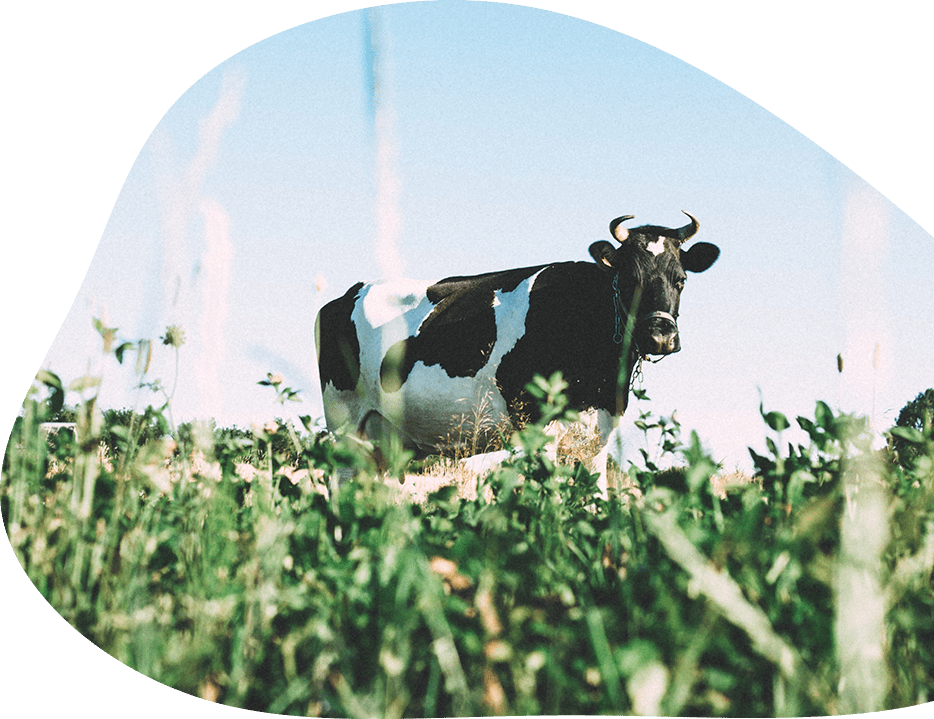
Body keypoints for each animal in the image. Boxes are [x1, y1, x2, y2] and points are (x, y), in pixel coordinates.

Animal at [315, 212, 719, 495]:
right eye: (630, 278)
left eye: (681, 279)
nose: (660, 336)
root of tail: (346, 294)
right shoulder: (538, 423)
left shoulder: (600, 431)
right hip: (345, 422)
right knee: (342, 483)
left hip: (384, 439)